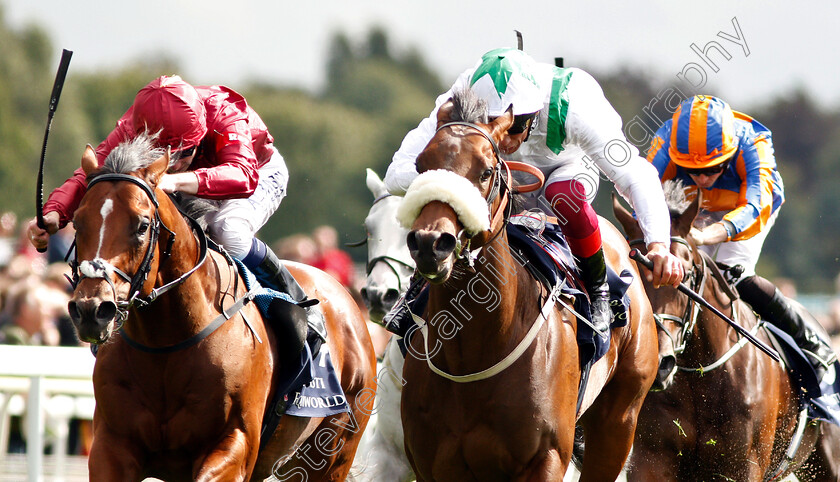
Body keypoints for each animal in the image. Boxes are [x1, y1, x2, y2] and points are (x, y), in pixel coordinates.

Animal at [67, 137, 376, 482]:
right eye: (77, 222)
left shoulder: (234, 443)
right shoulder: (112, 445)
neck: (165, 345)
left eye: (142, 225)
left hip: (333, 450)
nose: (92, 309)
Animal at [398, 89, 660, 478]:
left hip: (619, 421)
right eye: (420, 166)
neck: (473, 354)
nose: (432, 243)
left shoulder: (546, 458)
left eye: (486, 171)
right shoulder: (435, 465)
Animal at [612, 183, 840, 480]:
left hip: (829, 459)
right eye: (631, 277)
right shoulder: (651, 458)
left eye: (685, 274)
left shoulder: (744, 464)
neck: (701, 378)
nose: (660, 363)